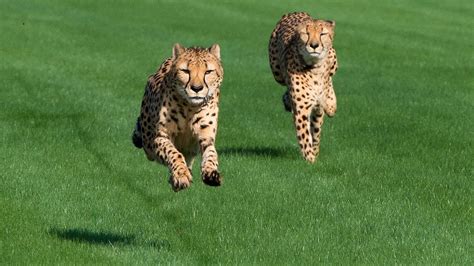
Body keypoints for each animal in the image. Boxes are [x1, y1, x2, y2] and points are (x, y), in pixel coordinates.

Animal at [132, 43, 223, 192]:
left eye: (208, 71)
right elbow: (173, 153)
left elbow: (211, 154)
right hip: (148, 146)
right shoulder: (159, 137)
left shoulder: (206, 138)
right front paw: (181, 175)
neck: (190, 107)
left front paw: (211, 172)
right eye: (185, 71)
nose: (196, 88)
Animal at [268, 12, 338, 163]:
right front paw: (310, 161)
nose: (314, 45)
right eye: (306, 33)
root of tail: (295, 12)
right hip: (277, 73)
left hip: (334, 58)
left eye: (322, 33)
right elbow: (305, 137)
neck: (315, 67)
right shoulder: (301, 109)